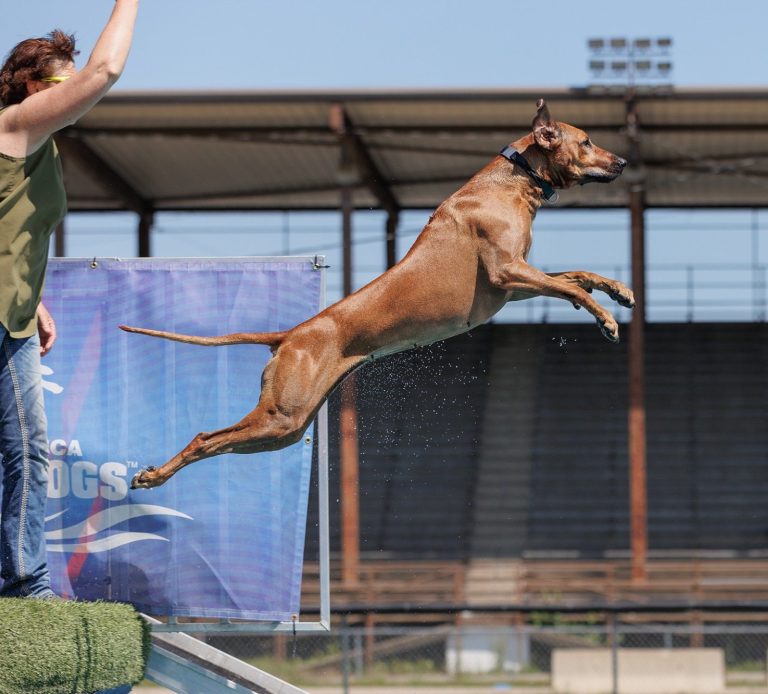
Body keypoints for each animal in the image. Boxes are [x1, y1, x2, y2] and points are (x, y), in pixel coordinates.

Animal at [123, 99, 632, 490]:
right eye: (587, 141)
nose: (624, 163)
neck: (513, 181)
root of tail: (291, 335)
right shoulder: (507, 272)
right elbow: (565, 284)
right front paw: (604, 317)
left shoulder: (513, 284)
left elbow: (574, 277)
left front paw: (617, 291)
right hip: (281, 415)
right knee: (204, 437)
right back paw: (153, 477)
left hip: (285, 428)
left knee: (218, 442)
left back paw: (156, 476)